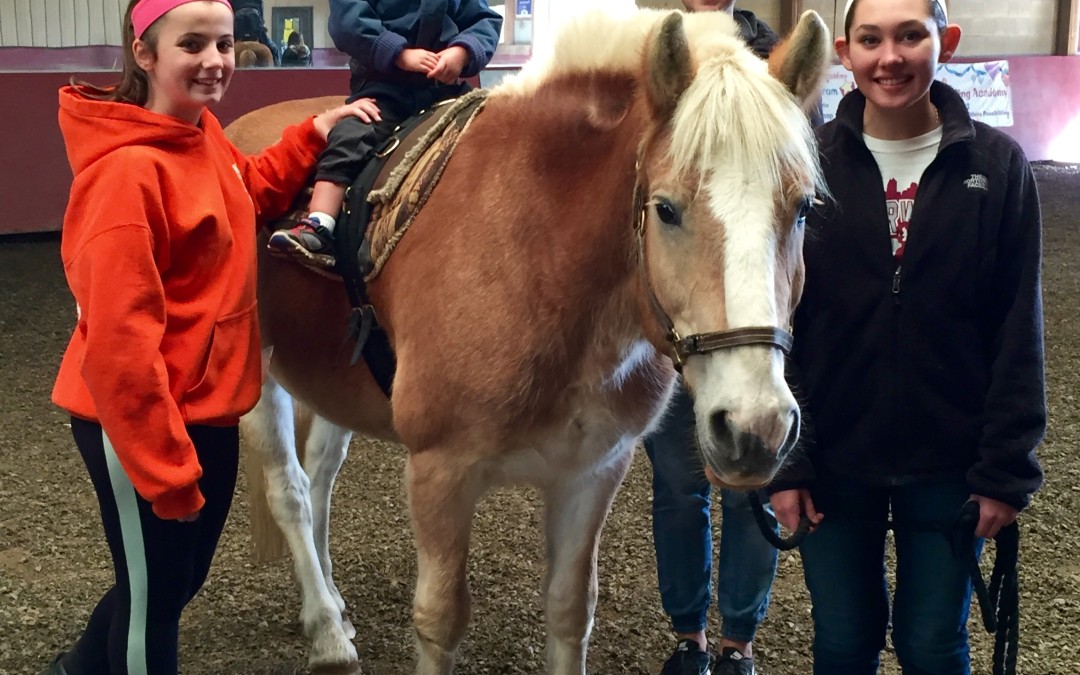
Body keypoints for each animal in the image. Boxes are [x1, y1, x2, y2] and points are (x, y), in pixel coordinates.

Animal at [228, 7, 830, 674]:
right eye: (666, 209)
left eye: (803, 209)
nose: (755, 427)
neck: (536, 251)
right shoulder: (440, 473)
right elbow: (440, 619)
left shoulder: (592, 471)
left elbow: (570, 609)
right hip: (262, 380)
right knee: (291, 491)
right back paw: (327, 631)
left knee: (320, 477)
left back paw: (332, 604)